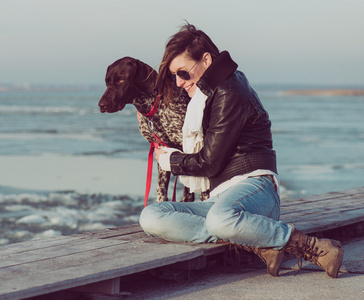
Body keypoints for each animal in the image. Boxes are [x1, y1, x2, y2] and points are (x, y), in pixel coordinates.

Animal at [98, 56, 209, 202]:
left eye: (121, 80)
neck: (155, 106)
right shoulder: (163, 150)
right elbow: (161, 191)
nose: (101, 105)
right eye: (107, 82)